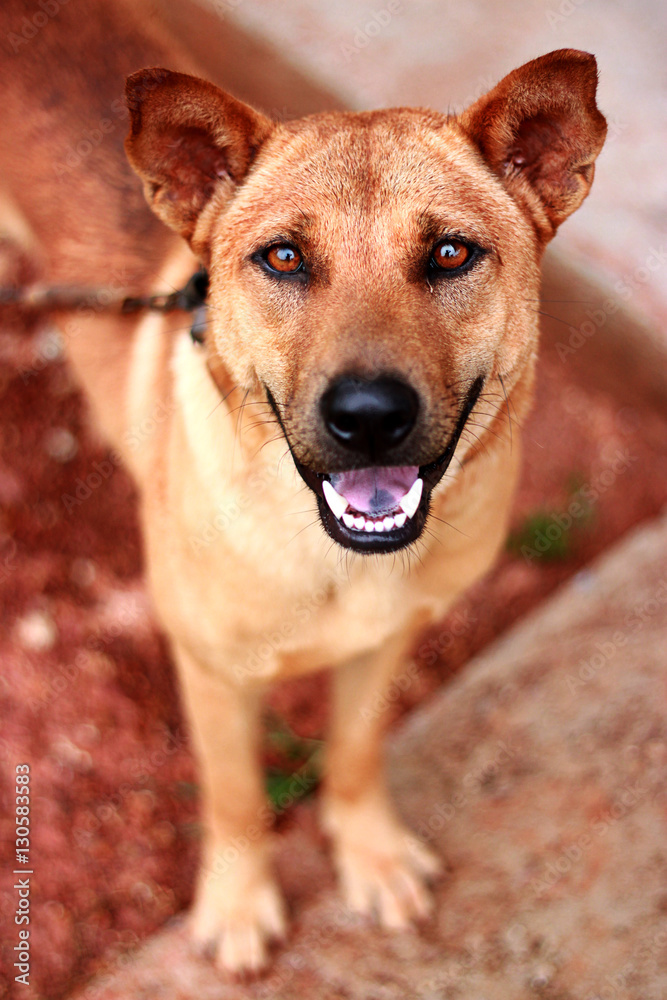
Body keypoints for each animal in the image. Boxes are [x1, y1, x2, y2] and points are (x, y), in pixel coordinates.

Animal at [0, 0, 604, 972]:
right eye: (282, 258)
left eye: (449, 253)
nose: (368, 416)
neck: (332, 558)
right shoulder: (212, 674)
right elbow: (235, 794)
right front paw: (238, 903)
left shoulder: (389, 637)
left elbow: (353, 752)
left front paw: (369, 853)